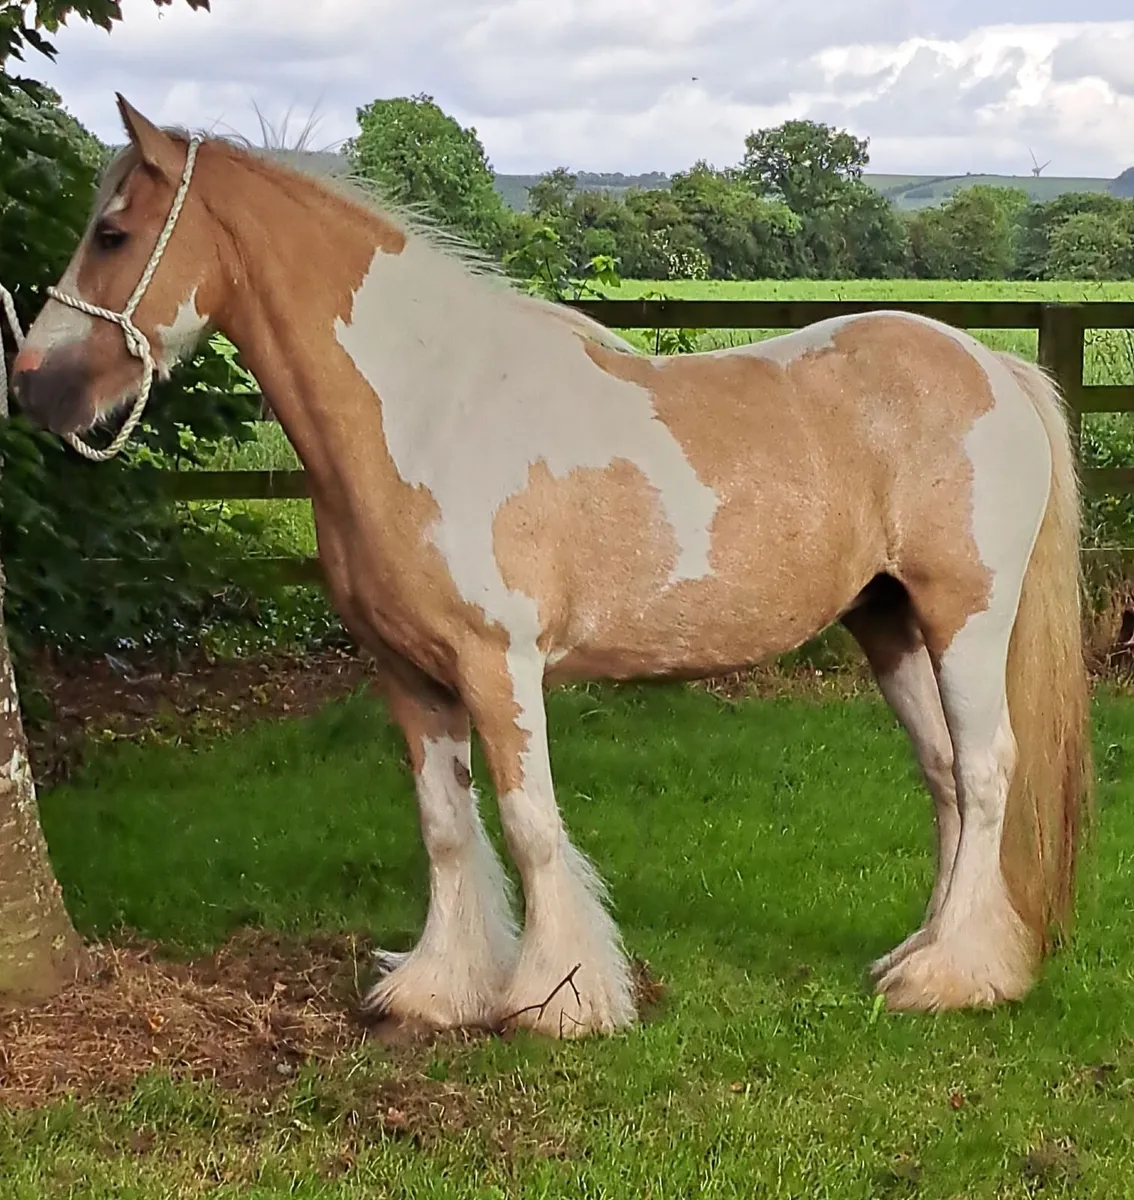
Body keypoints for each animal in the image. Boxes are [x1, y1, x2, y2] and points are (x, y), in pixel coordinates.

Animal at [10, 95, 1091, 1038]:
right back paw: (925, 954)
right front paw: (439, 991)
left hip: (964, 619)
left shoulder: (498, 665)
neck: (428, 408)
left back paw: (953, 978)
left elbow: (530, 824)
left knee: (986, 771)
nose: (32, 387)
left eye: (113, 234)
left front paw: (558, 1001)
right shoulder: (408, 673)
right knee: (945, 778)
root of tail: (997, 368)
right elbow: (446, 827)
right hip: (889, 623)